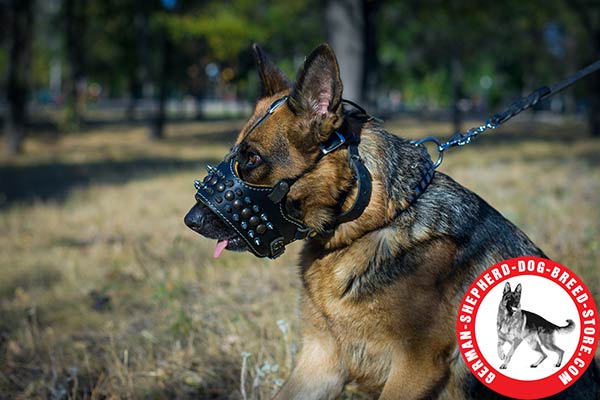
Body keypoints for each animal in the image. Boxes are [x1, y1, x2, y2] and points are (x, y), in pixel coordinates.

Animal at [185, 42, 596, 398]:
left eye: (251, 159)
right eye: (235, 153)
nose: (191, 220)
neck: (375, 221)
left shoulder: (415, 367)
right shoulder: (320, 361)